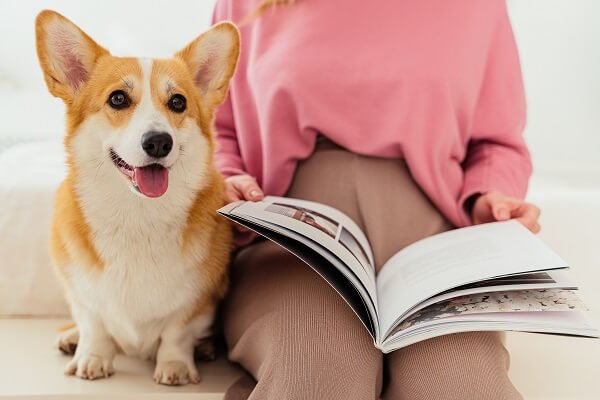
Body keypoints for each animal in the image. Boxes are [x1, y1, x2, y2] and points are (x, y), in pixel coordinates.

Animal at [34, 10, 237, 384]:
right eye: (117, 98)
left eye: (178, 102)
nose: (158, 142)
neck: (138, 215)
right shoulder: (80, 292)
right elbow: (94, 325)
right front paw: (92, 357)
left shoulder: (198, 299)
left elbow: (177, 332)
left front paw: (175, 365)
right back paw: (71, 338)